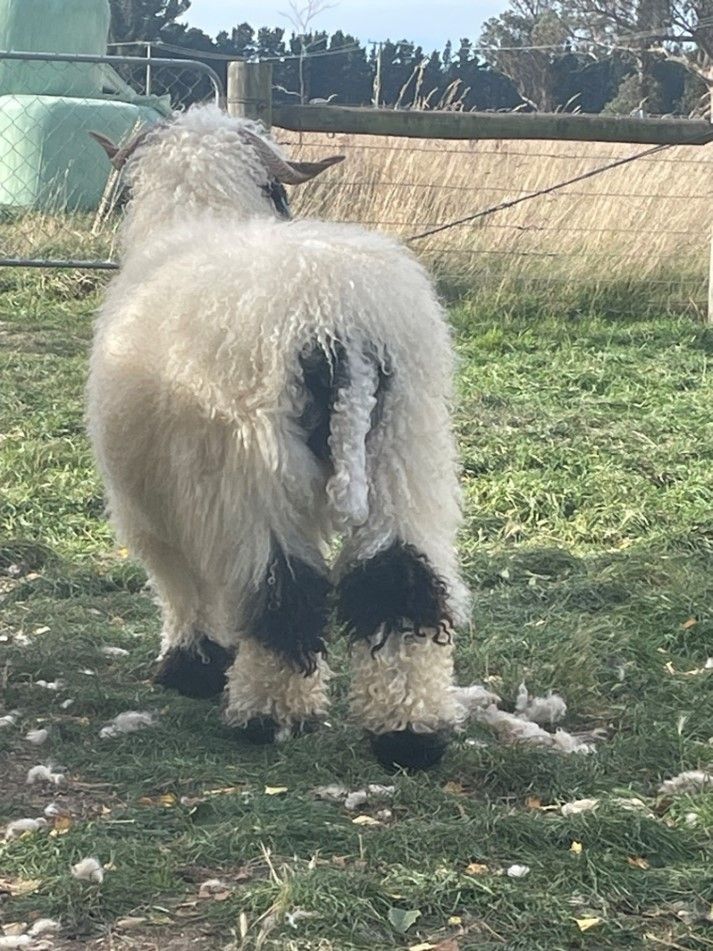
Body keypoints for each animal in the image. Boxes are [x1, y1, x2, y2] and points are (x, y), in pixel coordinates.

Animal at [87, 106, 468, 772]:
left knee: (282, 590)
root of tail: (337, 320)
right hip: (406, 451)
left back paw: (269, 716)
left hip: (256, 471)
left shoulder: (153, 501)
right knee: (403, 580)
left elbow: (181, 583)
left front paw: (191, 666)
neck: (199, 218)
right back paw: (409, 731)